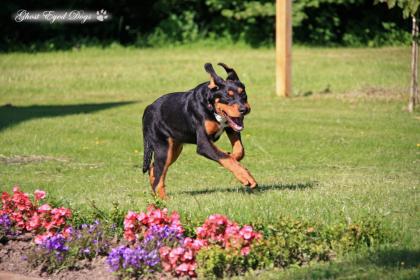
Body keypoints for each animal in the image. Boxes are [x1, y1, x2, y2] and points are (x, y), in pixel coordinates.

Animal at [143, 63, 258, 199]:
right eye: (228, 96)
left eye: (243, 94)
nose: (245, 109)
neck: (210, 106)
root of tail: (148, 109)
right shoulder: (204, 144)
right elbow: (224, 157)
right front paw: (245, 177)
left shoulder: (231, 126)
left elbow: (239, 150)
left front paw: (233, 156)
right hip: (163, 148)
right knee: (158, 176)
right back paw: (164, 200)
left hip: (174, 148)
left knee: (153, 168)